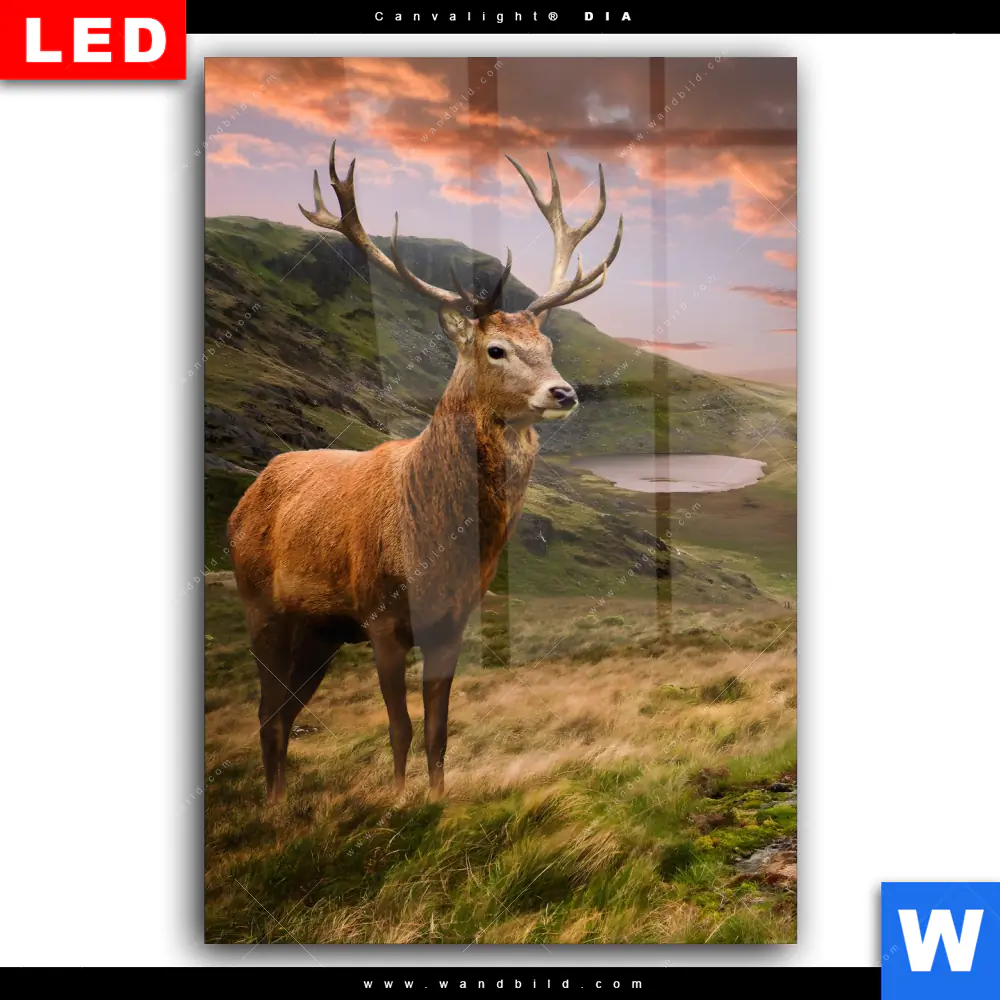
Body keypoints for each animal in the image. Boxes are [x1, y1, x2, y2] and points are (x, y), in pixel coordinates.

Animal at [227, 140, 622, 803]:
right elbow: (400, 727)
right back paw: (275, 808)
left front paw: (437, 800)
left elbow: (439, 727)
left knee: (283, 711)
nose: (564, 392)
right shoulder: (381, 612)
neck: (433, 543)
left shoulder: (452, 622)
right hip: (261, 604)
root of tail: (243, 499)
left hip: (318, 632)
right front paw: (398, 800)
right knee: (266, 714)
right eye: (495, 349)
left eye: (547, 346)